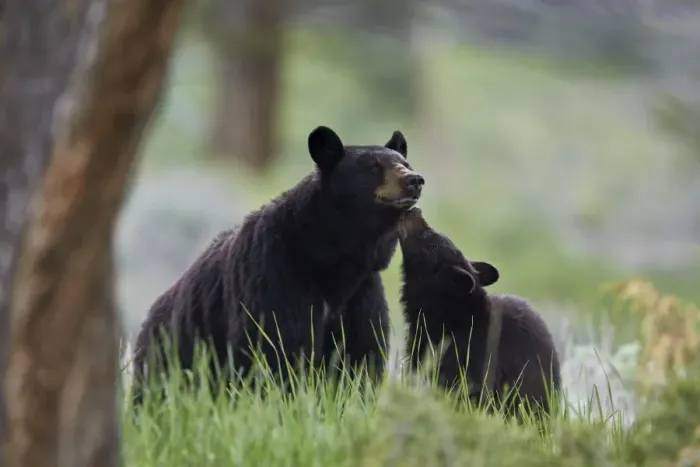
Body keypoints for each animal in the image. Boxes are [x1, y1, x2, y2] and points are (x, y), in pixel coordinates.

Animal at [130, 125, 425, 403]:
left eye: (405, 163)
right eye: (373, 167)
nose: (415, 180)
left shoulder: (361, 292)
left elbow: (360, 353)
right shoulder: (274, 275)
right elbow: (277, 346)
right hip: (170, 354)